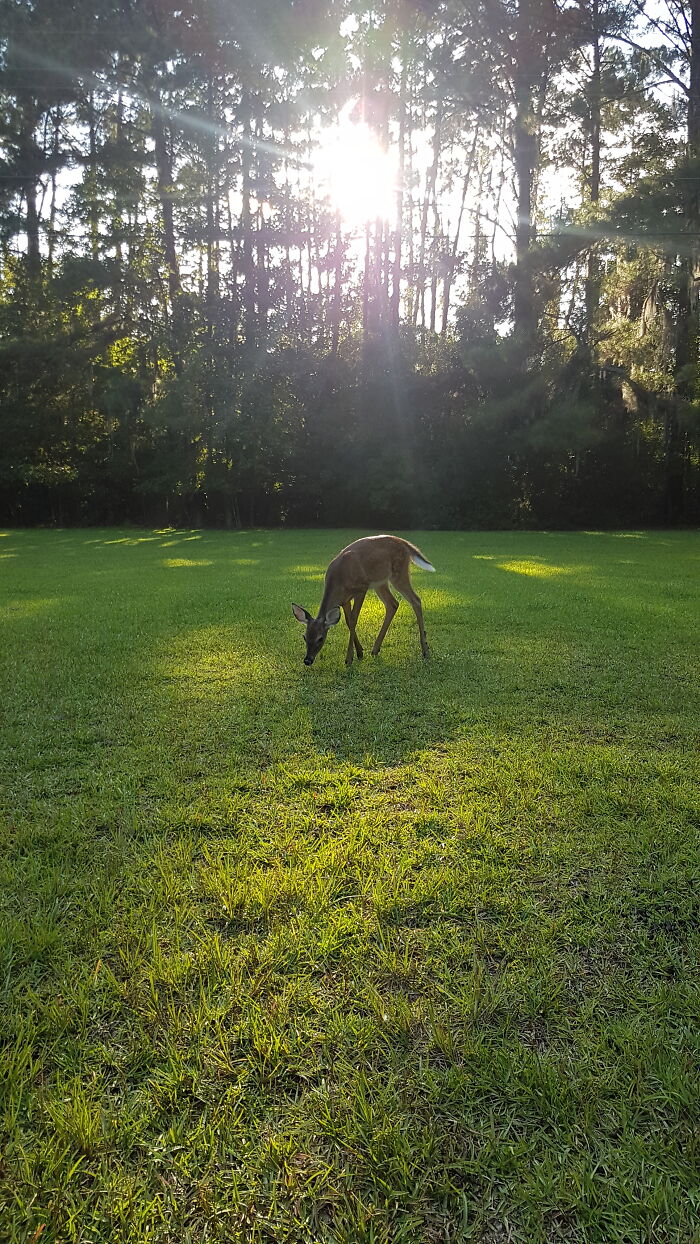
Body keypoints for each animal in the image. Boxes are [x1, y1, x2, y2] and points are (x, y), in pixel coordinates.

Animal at [292, 534, 435, 666]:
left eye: (320, 639)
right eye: (305, 637)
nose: (307, 660)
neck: (339, 581)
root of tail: (405, 543)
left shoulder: (361, 589)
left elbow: (354, 620)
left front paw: (349, 659)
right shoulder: (344, 600)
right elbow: (349, 622)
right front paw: (360, 652)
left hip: (398, 573)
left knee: (416, 600)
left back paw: (425, 651)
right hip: (380, 582)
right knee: (393, 604)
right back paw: (375, 649)